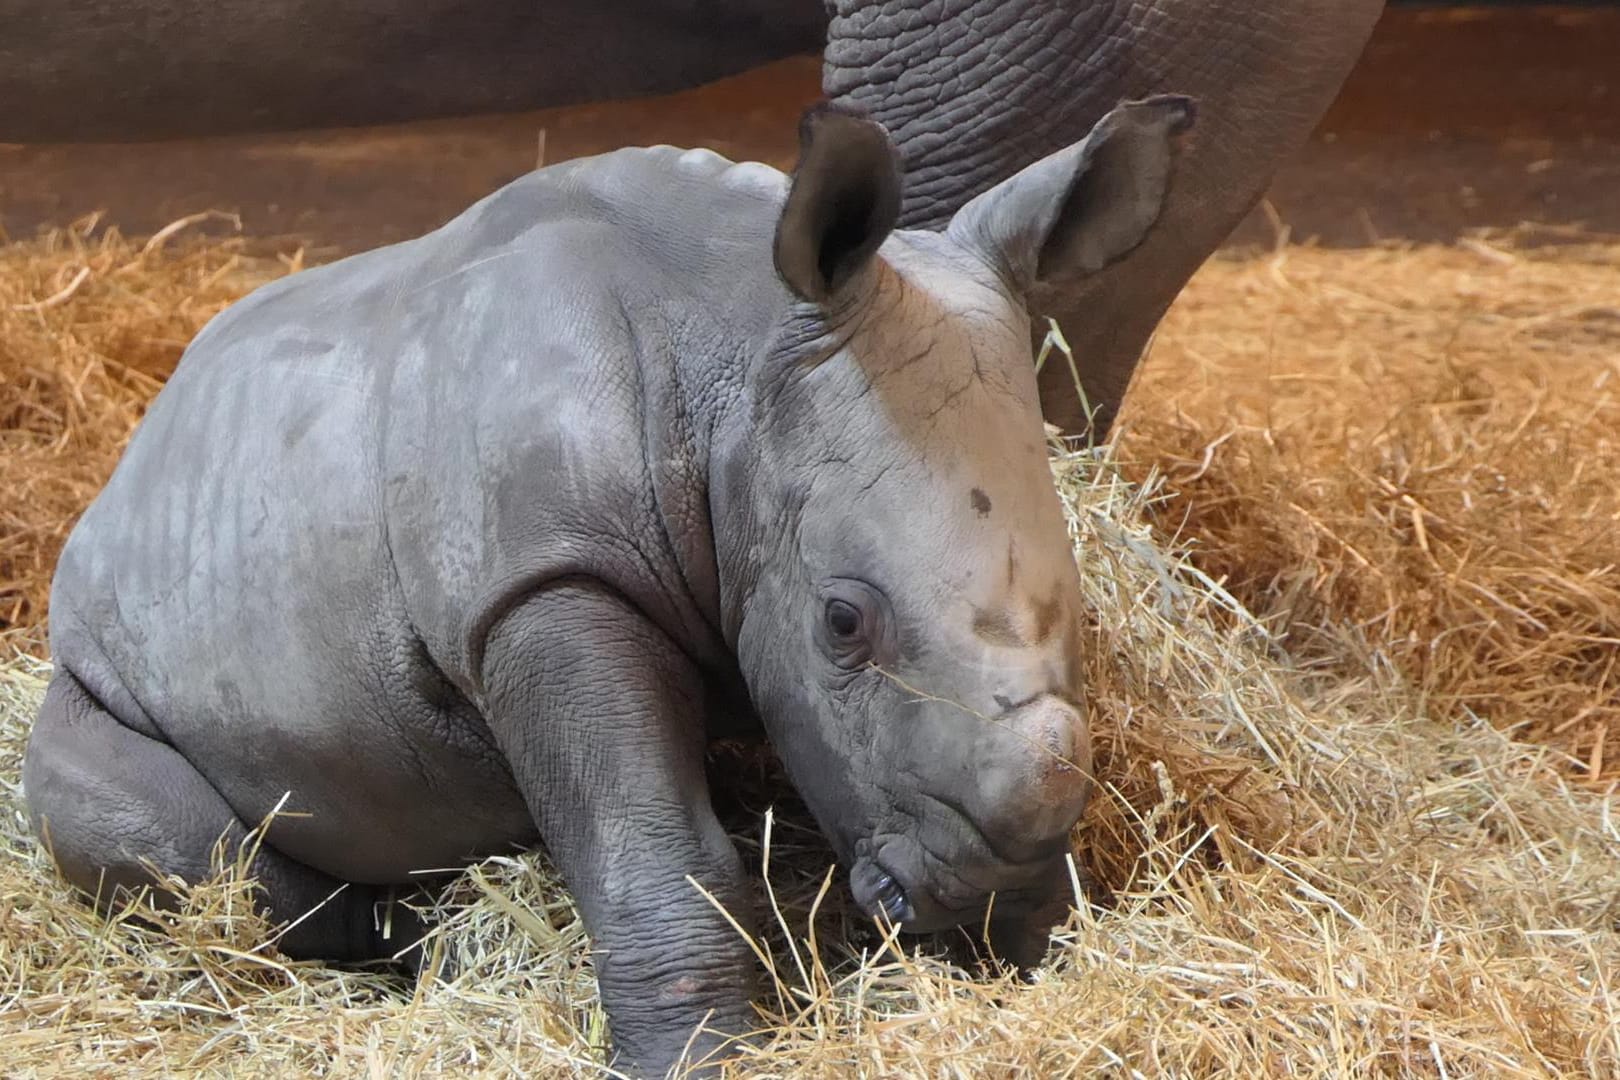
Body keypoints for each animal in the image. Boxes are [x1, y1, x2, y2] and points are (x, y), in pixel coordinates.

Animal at [22, 99, 1192, 1075]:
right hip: (97, 662)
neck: (735, 351)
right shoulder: (544, 583)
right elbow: (653, 848)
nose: (991, 888)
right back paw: (414, 947)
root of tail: (133, 461)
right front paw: (700, 1060)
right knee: (179, 844)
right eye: (842, 623)